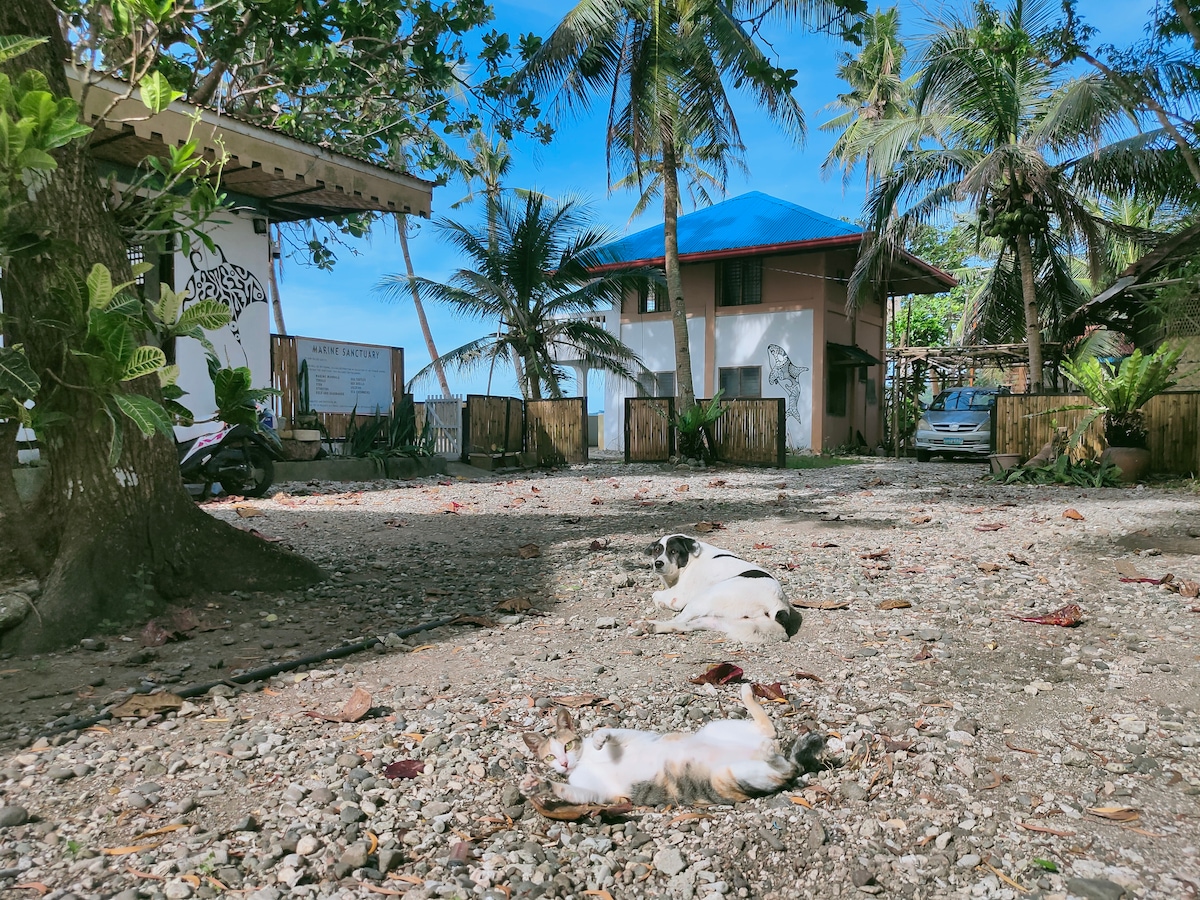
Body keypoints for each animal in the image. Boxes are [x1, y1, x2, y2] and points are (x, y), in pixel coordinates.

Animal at [518, 686, 825, 806]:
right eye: (549, 758)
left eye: (568, 745)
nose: (563, 763)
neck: (585, 762)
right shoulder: (597, 794)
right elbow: (570, 791)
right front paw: (538, 786)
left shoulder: (630, 735)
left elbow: (607, 730)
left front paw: (598, 739)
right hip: (732, 776)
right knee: (775, 754)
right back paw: (768, 750)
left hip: (716, 730)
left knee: (770, 731)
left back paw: (746, 693)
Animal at [643, 535, 801, 643]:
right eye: (657, 550)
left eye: (674, 551)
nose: (658, 563)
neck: (691, 558)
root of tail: (777, 603)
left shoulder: (679, 596)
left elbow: (656, 594)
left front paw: (660, 602)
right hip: (723, 621)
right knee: (687, 625)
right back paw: (655, 626)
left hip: (704, 598)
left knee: (680, 619)